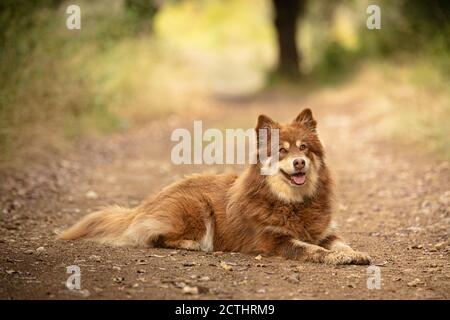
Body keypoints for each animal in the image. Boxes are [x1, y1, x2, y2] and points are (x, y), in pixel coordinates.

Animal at [58, 110, 370, 264]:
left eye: (304, 148)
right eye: (281, 150)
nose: (299, 163)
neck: (293, 202)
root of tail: (142, 206)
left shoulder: (325, 231)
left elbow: (340, 243)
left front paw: (353, 253)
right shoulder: (275, 240)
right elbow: (314, 249)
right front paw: (337, 258)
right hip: (196, 207)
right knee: (154, 237)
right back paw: (193, 245)